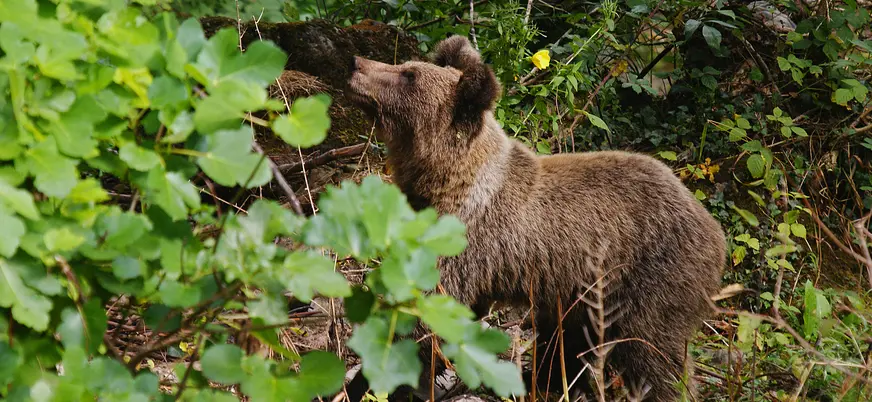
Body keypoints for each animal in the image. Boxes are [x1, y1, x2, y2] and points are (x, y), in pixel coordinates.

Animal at [343, 35, 726, 402]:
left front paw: (368, 383)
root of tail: (715, 233)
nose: (356, 63)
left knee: (651, 353)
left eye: (409, 75)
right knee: (571, 341)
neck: (445, 181)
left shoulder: (463, 242)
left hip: (650, 278)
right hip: (583, 294)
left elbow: (424, 316)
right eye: (406, 65)